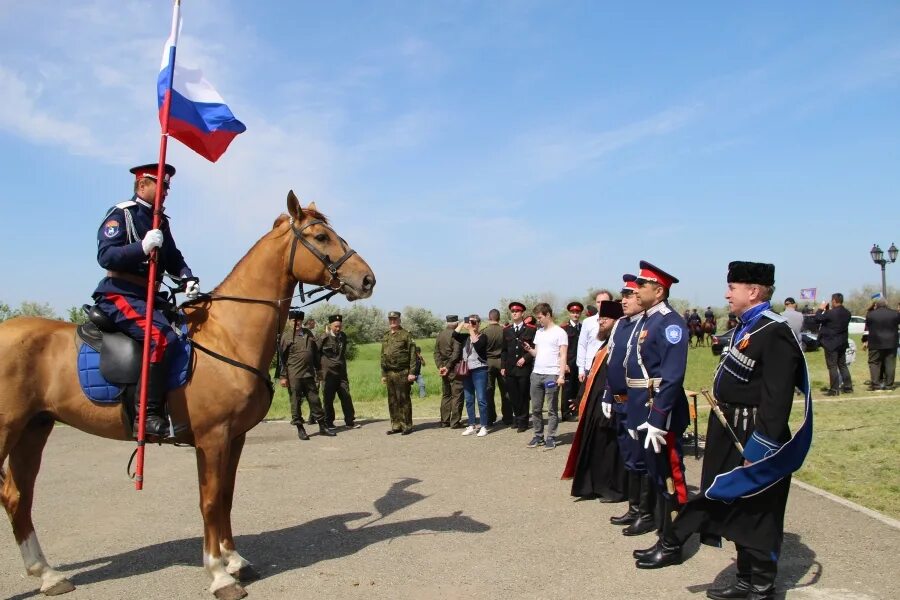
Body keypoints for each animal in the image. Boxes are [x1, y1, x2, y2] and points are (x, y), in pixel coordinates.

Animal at [0, 193, 376, 600]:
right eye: (321, 237)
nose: (367, 279)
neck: (227, 334)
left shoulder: (234, 437)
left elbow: (226, 496)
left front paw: (234, 560)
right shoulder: (211, 438)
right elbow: (209, 500)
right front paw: (219, 574)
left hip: (33, 429)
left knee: (18, 496)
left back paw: (47, 574)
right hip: (9, 430)